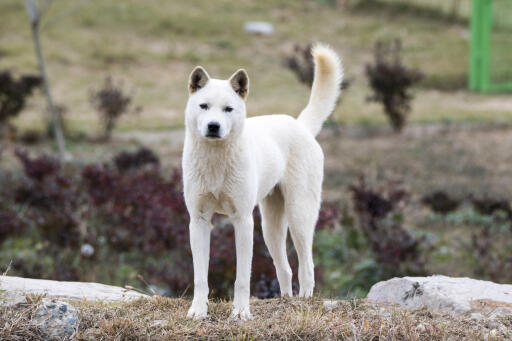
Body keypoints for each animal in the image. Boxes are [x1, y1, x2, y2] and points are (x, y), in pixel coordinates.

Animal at [182, 43, 342, 318]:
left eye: (228, 109)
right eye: (203, 106)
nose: (213, 126)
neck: (215, 161)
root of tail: (299, 125)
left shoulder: (243, 221)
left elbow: (242, 278)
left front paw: (240, 313)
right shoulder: (199, 221)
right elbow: (200, 276)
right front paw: (198, 311)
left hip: (299, 217)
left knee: (307, 266)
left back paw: (303, 301)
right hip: (270, 228)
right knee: (285, 269)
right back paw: (286, 300)